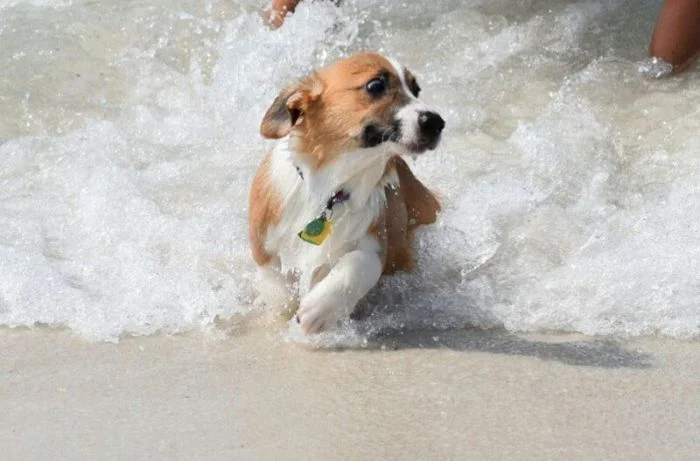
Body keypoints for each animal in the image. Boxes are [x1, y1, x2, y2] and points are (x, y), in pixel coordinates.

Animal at [248, 52, 444, 334]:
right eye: (376, 85)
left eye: (416, 89)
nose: (437, 122)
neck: (328, 192)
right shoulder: (263, 245)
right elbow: (276, 287)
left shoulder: (375, 238)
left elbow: (360, 264)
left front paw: (318, 309)